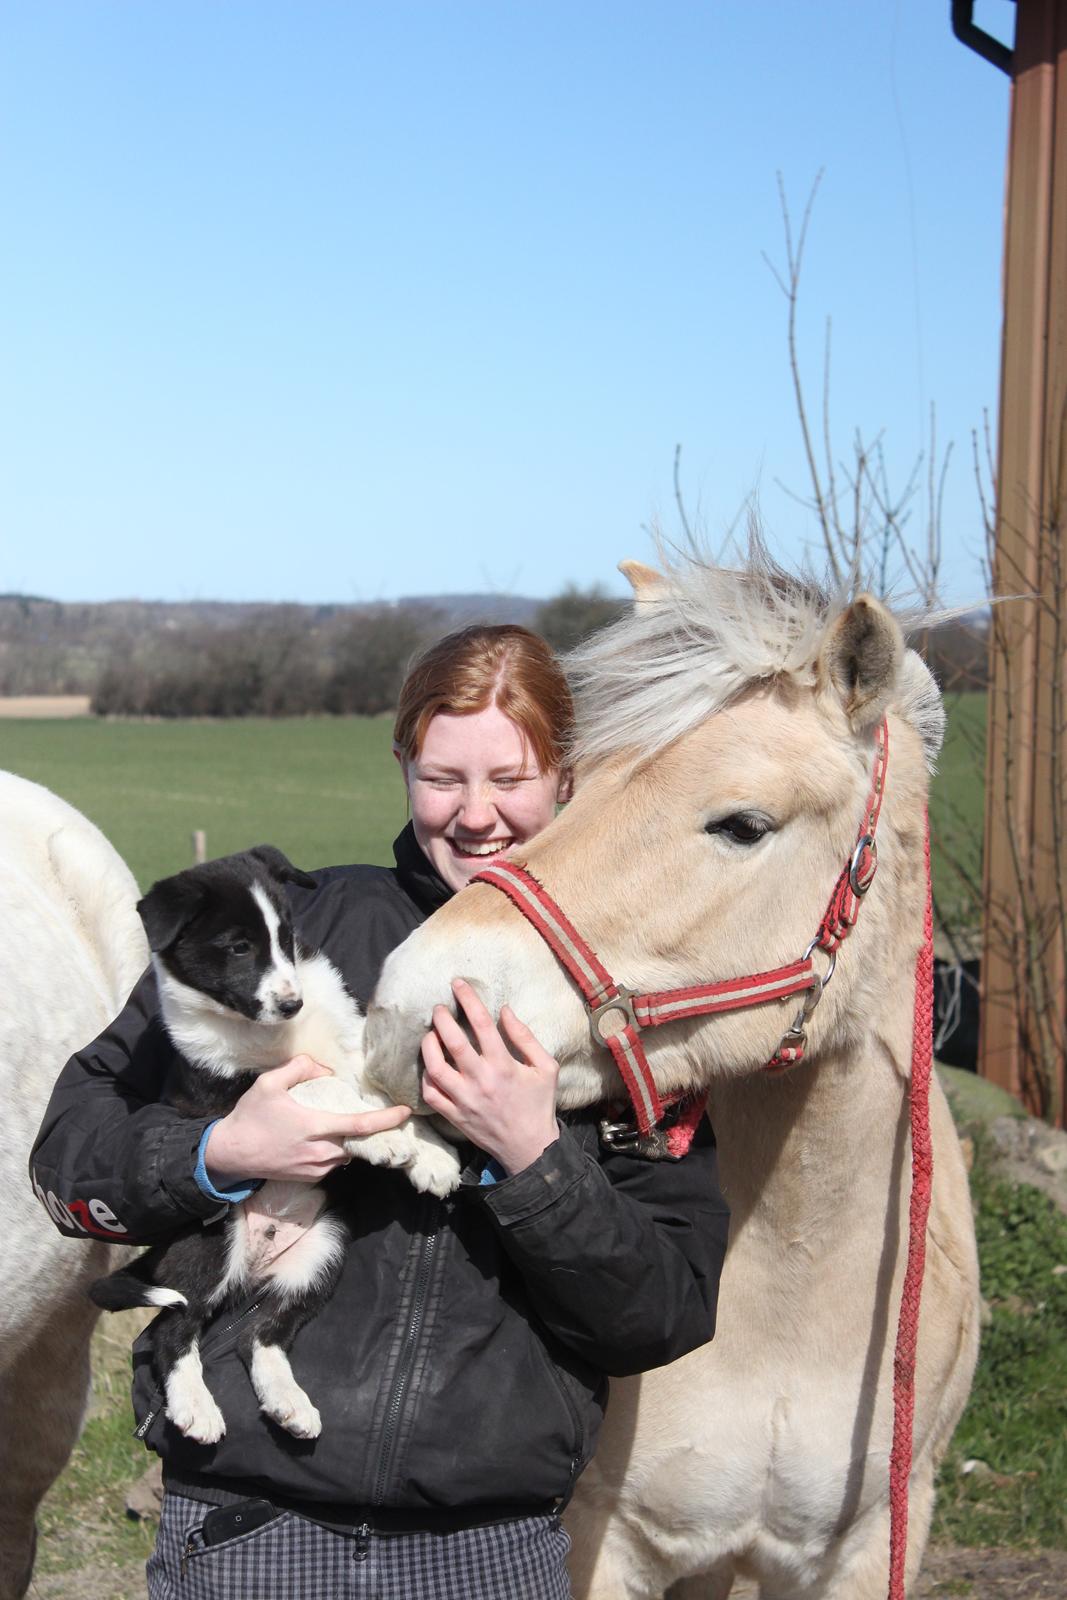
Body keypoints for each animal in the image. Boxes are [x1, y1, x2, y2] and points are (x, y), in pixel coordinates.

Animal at [91, 851, 460, 1452]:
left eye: (286, 938)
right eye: (238, 947)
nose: (291, 1002)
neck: (266, 1031)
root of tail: (255, 1266)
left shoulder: (351, 1044)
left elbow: (389, 1096)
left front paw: (432, 1155)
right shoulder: (239, 1090)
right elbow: (322, 1087)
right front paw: (382, 1138)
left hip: (322, 1253)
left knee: (258, 1337)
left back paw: (289, 1404)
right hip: (207, 1242)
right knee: (169, 1332)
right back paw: (196, 1409)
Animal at [369, 553, 985, 1600]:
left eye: (741, 825)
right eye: (571, 791)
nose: (406, 1010)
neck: (791, 1293)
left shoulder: (870, 1544)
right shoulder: (604, 1537)